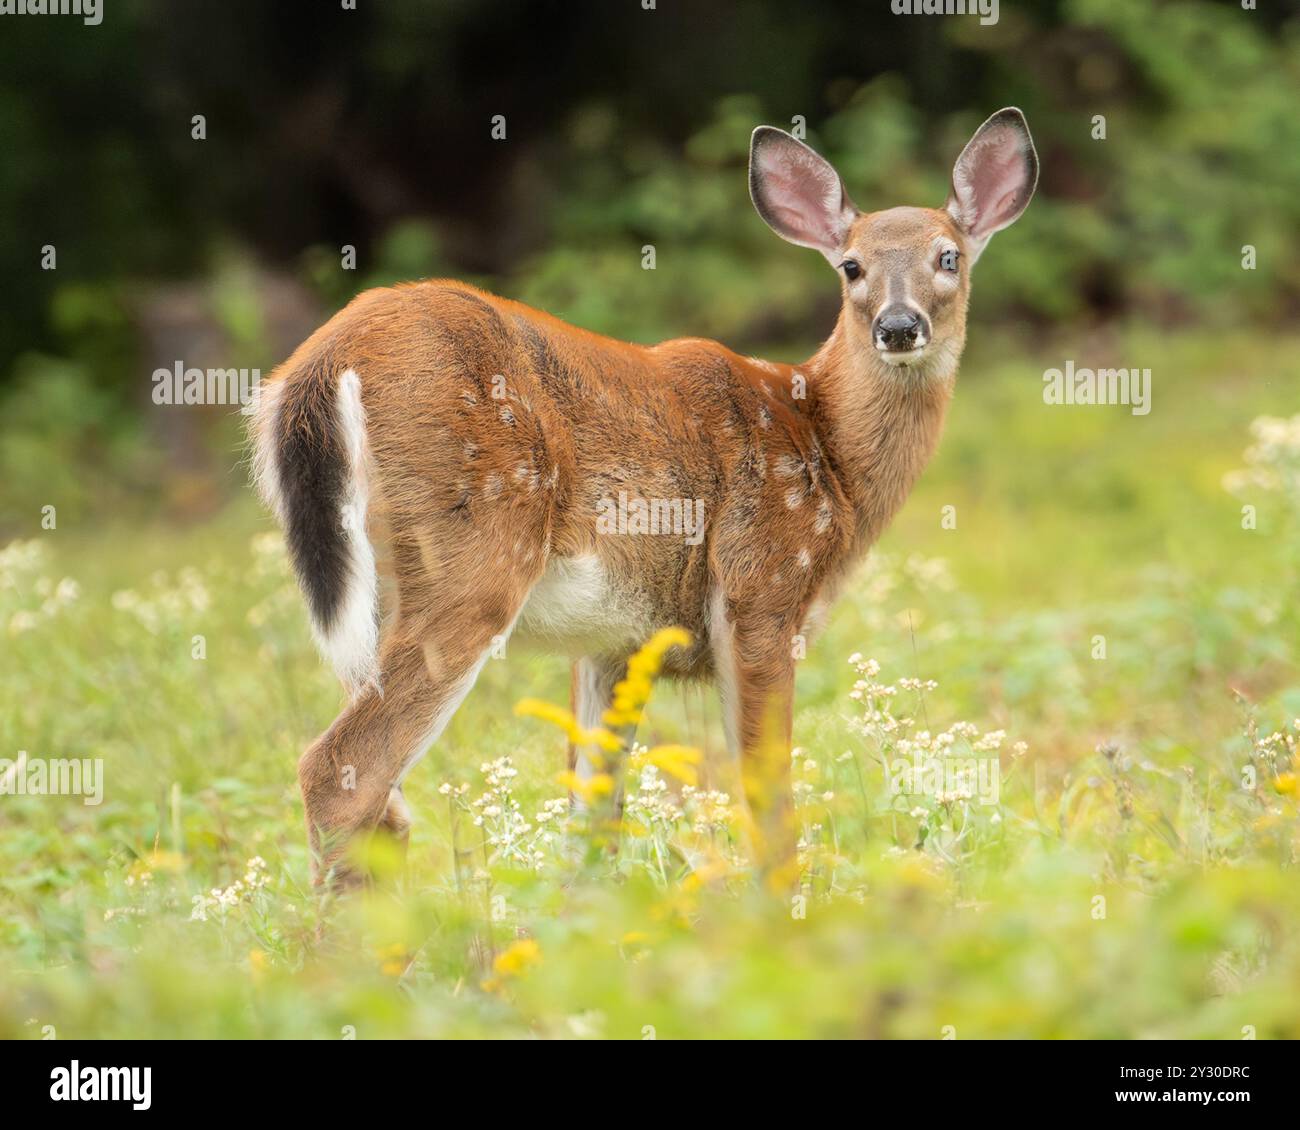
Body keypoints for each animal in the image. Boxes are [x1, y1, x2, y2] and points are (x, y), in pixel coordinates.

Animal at [250, 108, 1038, 889]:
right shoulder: (759, 586)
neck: (827, 451)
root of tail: (320, 363)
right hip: (472, 556)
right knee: (341, 772)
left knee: (385, 804)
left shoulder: (616, 640)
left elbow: (592, 815)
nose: (898, 327)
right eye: (851, 266)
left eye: (948, 257)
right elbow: (767, 798)